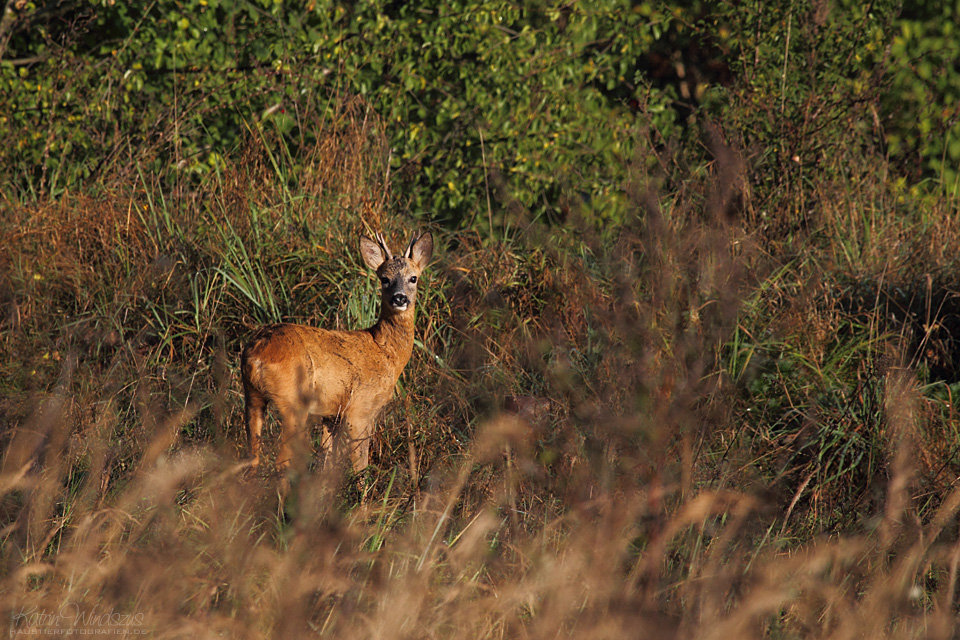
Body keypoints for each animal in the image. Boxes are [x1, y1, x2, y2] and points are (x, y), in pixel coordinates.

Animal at [240, 231, 436, 476]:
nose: (399, 298)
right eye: (384, 278)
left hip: (252, 397)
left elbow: (327, 462)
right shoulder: (359, 409)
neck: (385, 351)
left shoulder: (331, 415)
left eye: (413, 278)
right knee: (282, 462)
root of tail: (256, 355)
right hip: (292, 402)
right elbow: (361, 464)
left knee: (252, 458)